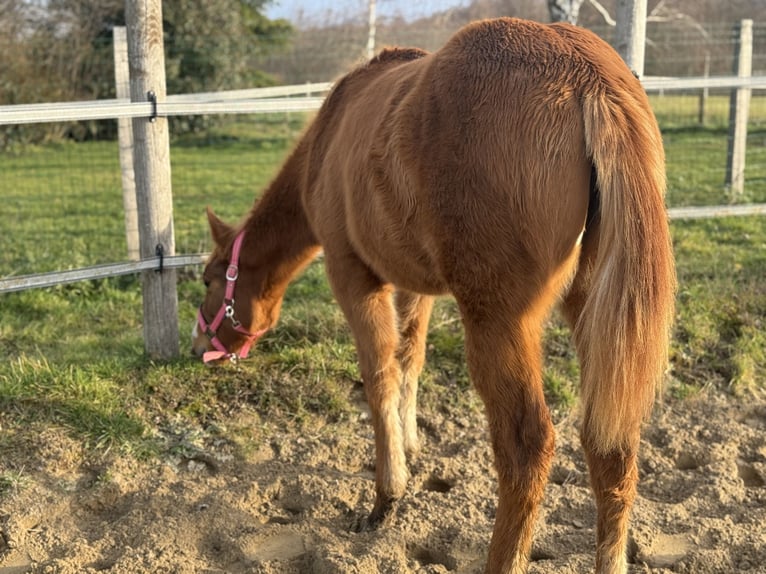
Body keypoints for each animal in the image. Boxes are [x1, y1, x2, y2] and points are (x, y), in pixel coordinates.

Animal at [192, 17, 676, 574]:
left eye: (208, 279)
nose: (199, 347)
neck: (329, 136)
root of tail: (588, 77)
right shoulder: (413, 287)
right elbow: (410, 358)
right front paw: (411, 443)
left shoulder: (353, 277)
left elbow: (379, 376)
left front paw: (387, 493)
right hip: (597, 318)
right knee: (610, 446)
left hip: (498, 322)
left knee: (527, 449)